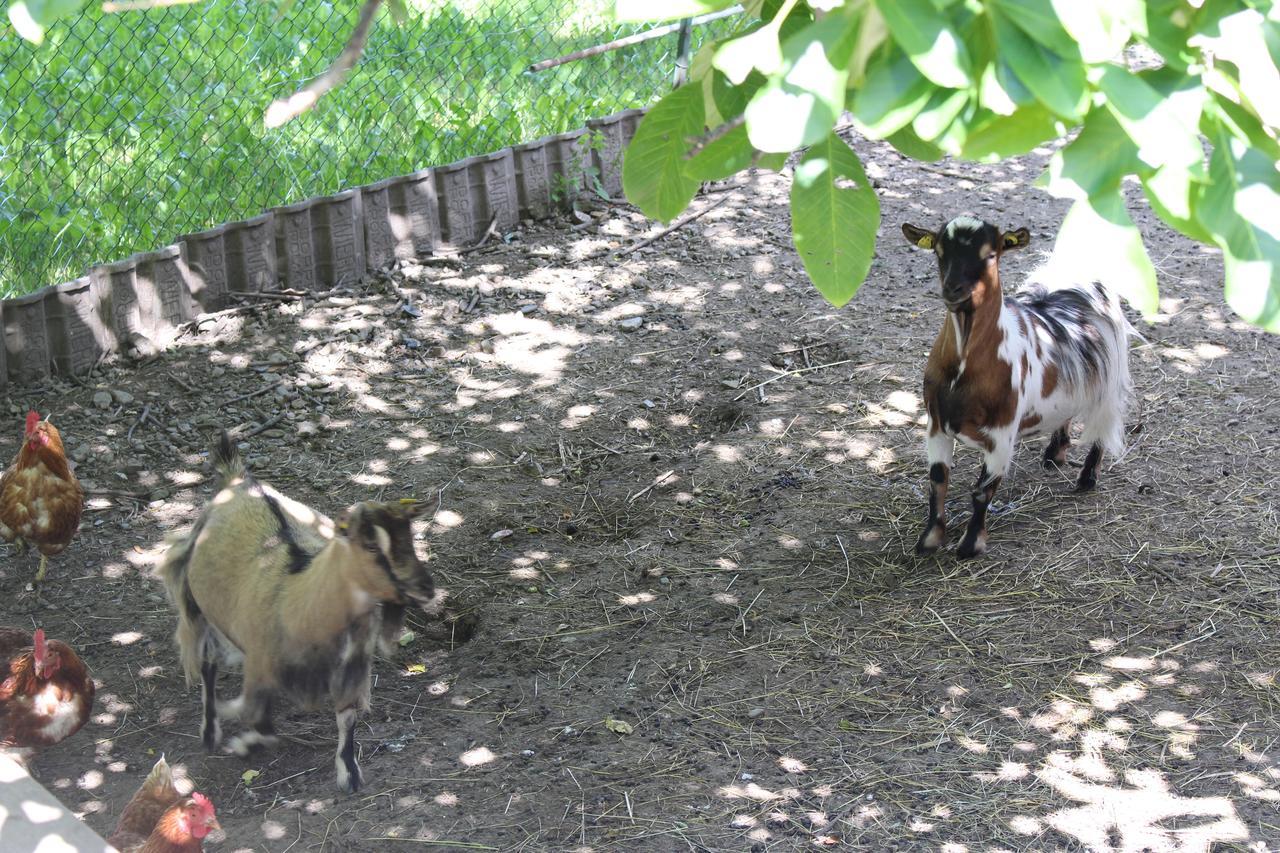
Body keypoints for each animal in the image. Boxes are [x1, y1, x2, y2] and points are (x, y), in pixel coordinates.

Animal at [158, 432, 430, 788]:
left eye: (410, 539)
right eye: (372, 545)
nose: (425, 588)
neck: (301, 598)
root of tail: (237, 479)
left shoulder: (353, 665)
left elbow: (347, 717)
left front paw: (349, 773)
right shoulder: (261, 664)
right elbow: (263, 725)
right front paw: (242, 741)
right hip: (196, 606)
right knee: (207, 665)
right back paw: (209, 731)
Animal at [901, 216, 1131, 555]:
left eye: (990, 254)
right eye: (939, 252)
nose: (953, 289)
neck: (964, 371)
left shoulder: (1002, 434)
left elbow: (982, 492)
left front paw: (970, 546)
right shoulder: (936, 425)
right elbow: (937, 480)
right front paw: (930, 539)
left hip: (1110, 383)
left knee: (1103, 427)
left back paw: (1087, 477)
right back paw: (1054, 454)